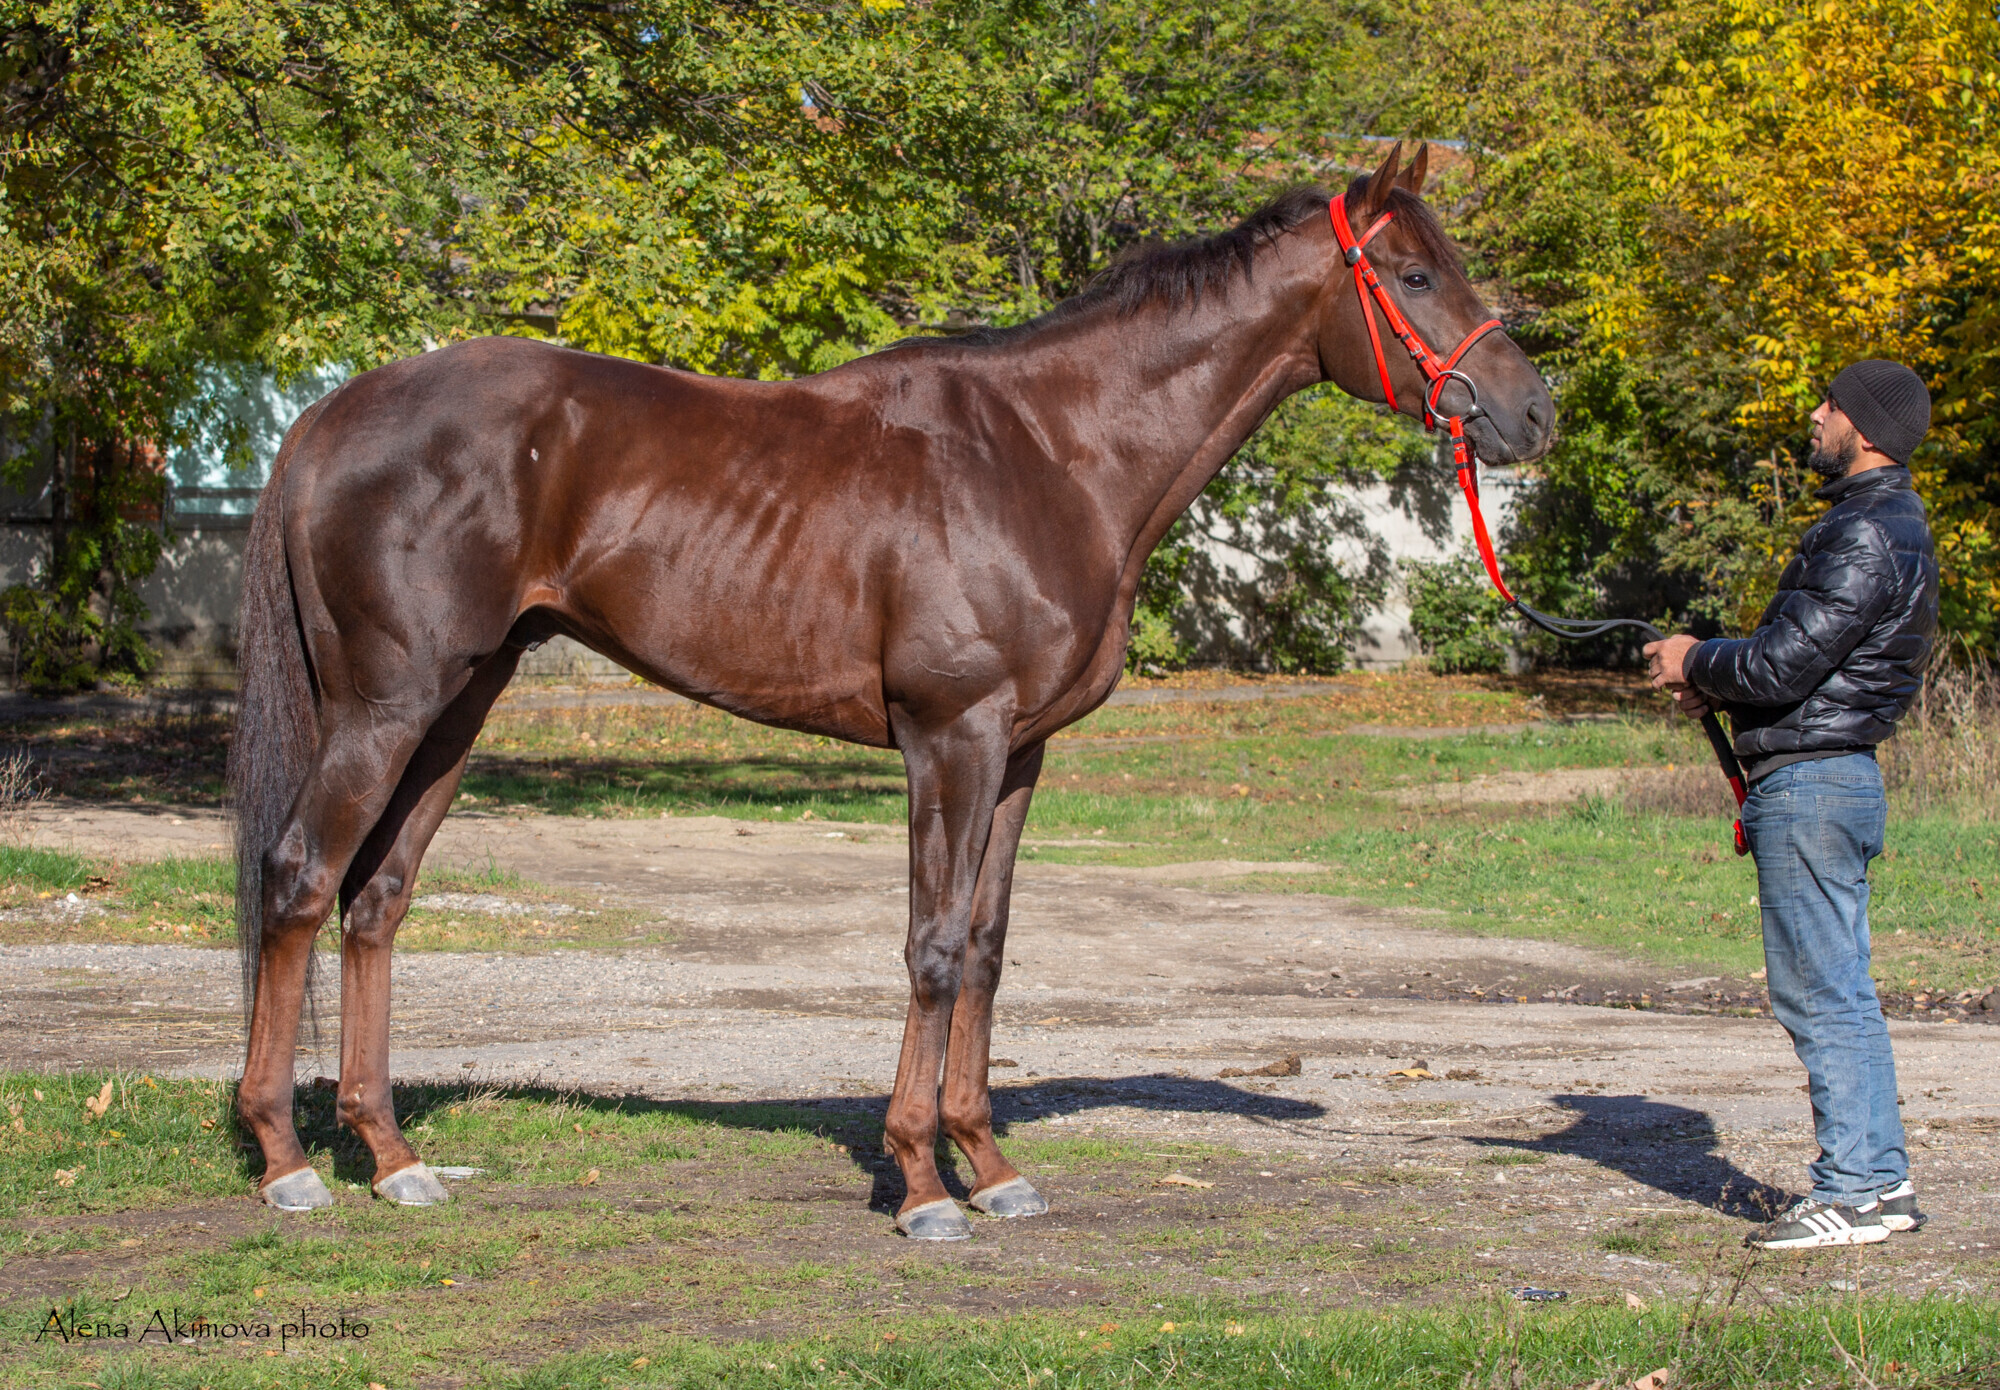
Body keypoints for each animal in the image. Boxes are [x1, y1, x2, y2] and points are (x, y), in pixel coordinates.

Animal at [230, 147, 1544, 1248]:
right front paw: (920, 1185)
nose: (1532, 412)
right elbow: (930, 944)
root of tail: (326, 415)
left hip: (459, 704)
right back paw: (287, 1161)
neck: (1049, 452)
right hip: (385, 708)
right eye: (1413, 272)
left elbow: (987, 949)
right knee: (299, 879)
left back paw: (393, 1158)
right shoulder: (948, 738)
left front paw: (989, 1167)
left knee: (376, 900)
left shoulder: (1019, 753)